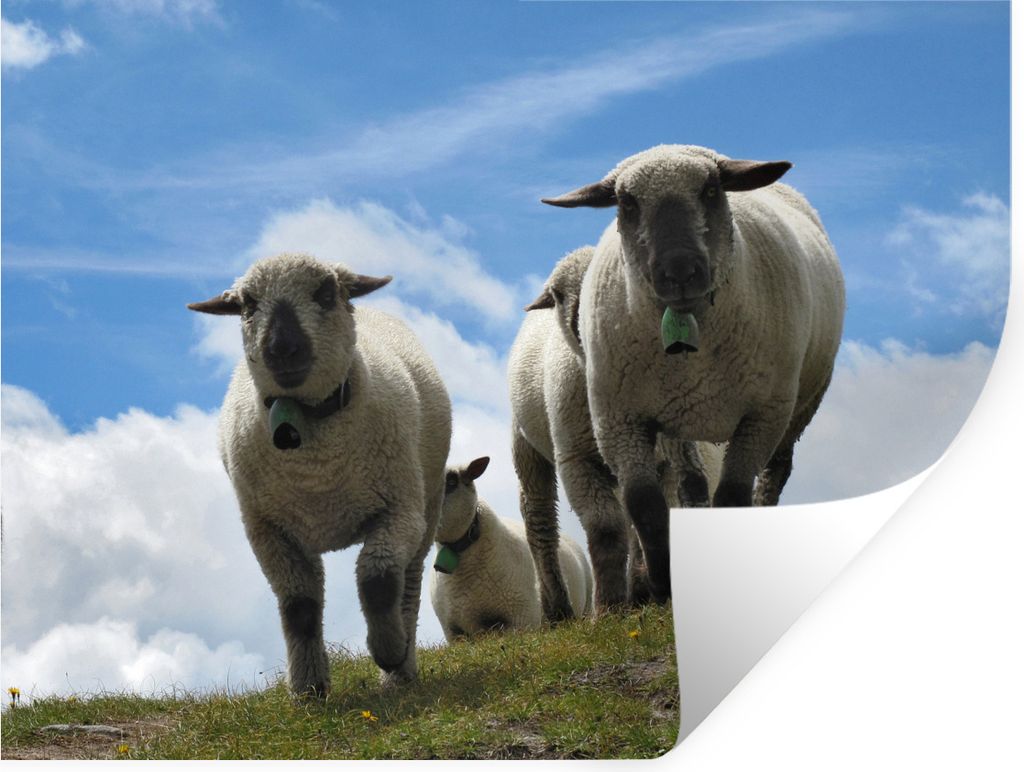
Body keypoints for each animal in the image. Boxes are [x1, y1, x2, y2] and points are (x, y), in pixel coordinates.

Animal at [188, 252, 452, 695]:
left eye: (326, 294)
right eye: (247, 304)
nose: (282, 348)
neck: (318, 472)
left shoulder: (399, 510)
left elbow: (378, 579)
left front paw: (387, 650)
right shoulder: (269, 532)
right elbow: (300, 606)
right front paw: (308, 688)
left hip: (426, 506)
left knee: (409, 585)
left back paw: (400, 671)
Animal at [509, 247, 721, 618]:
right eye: (558, 295)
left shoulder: (666, 458)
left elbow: (654, 515)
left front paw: (652, 592)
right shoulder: (575, 459)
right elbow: (606, 528)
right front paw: (608, 607)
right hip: (528, 447)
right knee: (540, 520)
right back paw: (557, 610)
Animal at [542, 144, 845, 602]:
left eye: (711, 190)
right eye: (626, 203)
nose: (680, 271)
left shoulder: (762, 415)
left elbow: (734, 496)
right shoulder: (620, 420)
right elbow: (645, 504)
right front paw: (663, 584)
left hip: (799, 406)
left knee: (773, 477)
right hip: (675, 418)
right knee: (688, 482)